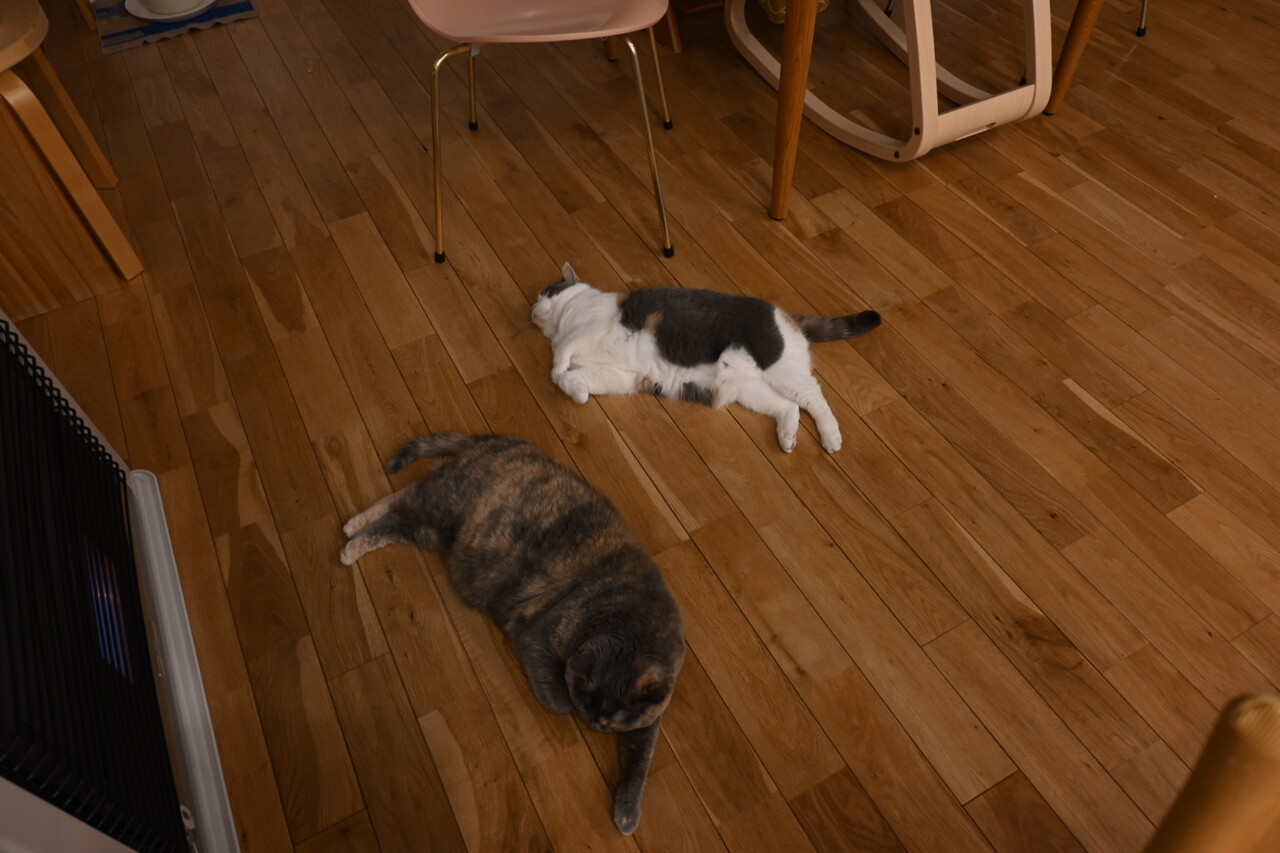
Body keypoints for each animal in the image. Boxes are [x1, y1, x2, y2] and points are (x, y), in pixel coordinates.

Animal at [339, 433, 685, 835]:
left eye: (616, 720)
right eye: (588, 704)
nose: (595, 725)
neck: (635, 619)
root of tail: (503, 442)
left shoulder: (649, 720)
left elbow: (640, 763)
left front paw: (627, 813)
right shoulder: (538, 634)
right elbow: (556, 695)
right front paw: (564, 700)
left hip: (432, 529)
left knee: (400, 505)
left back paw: (354, 529)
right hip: (441, 505)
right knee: (401, 502)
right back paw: (352, 536)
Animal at [531, 262, 881, 453]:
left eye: (545, 292)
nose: (532, 309)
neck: (561, 324)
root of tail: (786, 315)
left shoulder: (590, 327)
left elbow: (562, 354)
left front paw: (556, 371)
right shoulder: (618, 375)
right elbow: (577, 378)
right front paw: (577, 393)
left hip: (779, 369)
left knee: (815, 396)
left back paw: (831, 437)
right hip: (746, 389)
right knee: (789, 406)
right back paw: (787, 438)